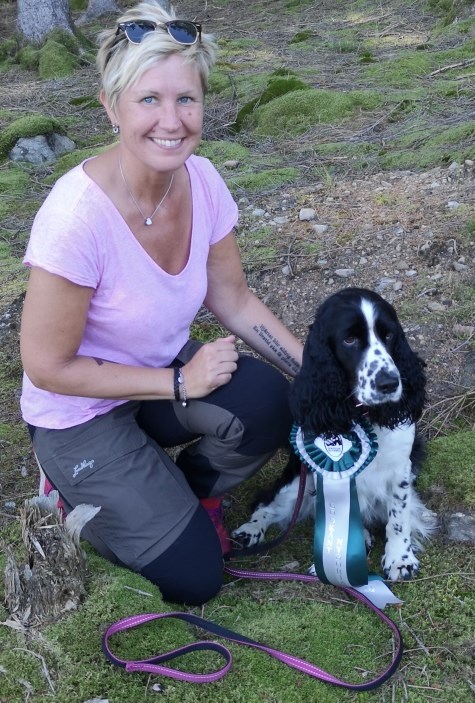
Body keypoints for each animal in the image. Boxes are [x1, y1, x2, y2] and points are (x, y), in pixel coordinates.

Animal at [233, 287, 436, 582]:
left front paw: (400, 559)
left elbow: (399, 516)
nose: (389, 383)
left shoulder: (401, 467)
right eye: (349, 339)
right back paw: (249, 531)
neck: (363, 416)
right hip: (297, 481)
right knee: (266, 504)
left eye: (389, 335)